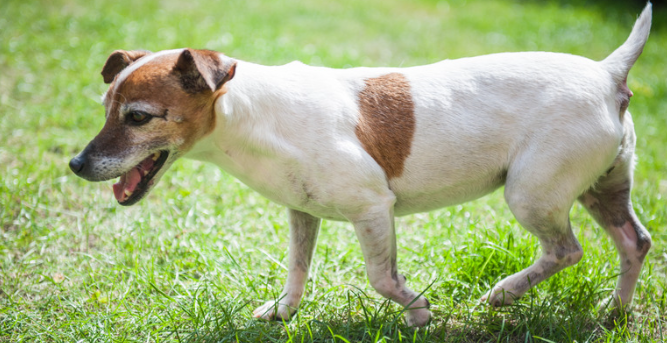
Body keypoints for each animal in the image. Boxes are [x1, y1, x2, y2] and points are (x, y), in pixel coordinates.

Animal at [70, 4, 656, 328]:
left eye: (138, 117)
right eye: (104, 109)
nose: (76, 164)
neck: (255, 116)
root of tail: (607, 73)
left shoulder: (374, 209)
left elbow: (381, 278)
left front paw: (418, 312)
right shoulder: (302, 213)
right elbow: (297, 271)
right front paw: (283, 312)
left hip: (531, 193)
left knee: (566, 250)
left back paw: (506, 291)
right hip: (603, 189)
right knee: (634, 242)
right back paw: (615, 312)